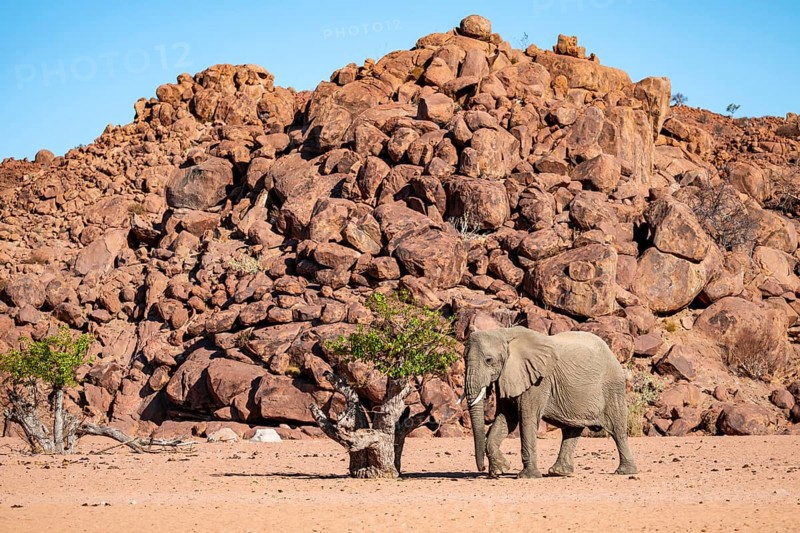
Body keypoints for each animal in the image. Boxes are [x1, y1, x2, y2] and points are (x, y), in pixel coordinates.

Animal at [464, 326, 637, 478]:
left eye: (488, 360)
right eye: (464, 358)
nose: (482, 468)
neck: (505, 333)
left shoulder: (539, 380)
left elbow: (526, 418)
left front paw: (528, 476)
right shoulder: (508, 375)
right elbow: (507, 419)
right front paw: (500, 471)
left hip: (612, 387)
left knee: (617, 428)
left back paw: (625, 472)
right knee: (572, 428)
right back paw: (559, 472)